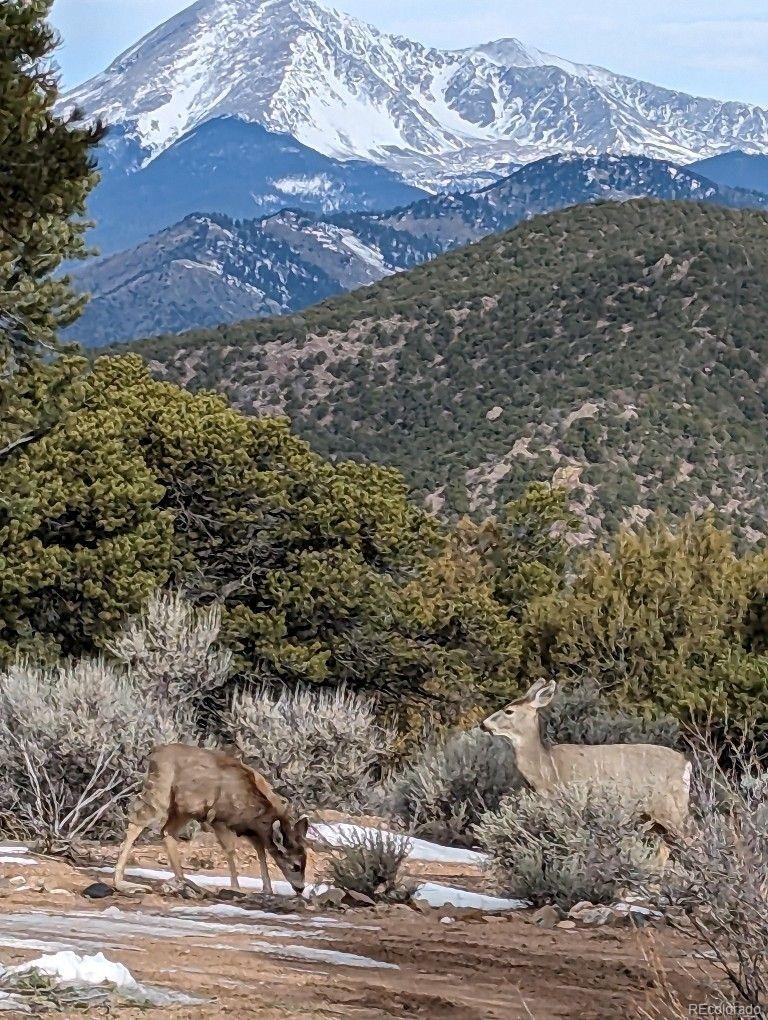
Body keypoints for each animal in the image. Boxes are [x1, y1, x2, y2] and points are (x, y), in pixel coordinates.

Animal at [112, 746, 310, 897]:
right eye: (295, 866)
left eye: (305, 860)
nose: (300, 889)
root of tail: (154, 754)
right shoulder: (219, 819)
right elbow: (230, 850)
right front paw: (236, 887)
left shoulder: (248, 829)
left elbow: (261, 851)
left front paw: (267, 889)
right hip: (159, 791)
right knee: (137, 822)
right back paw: (122, 883)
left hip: (182, 809)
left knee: (167, 832)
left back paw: (182, 881)